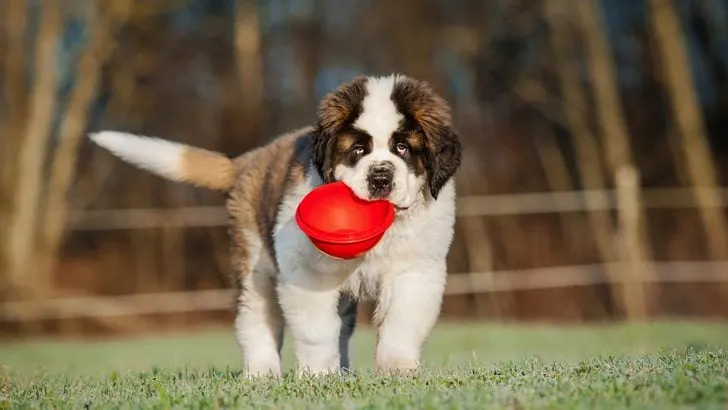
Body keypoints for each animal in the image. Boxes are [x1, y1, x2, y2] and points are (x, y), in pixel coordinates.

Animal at [89, 74, 460, 378]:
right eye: (357, 150)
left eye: (403, 148)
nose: (380, 177)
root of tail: (250, 159)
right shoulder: (306, 273)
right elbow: (316, 329)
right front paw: (319, 376)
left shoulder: (416, 270)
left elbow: (402, 321)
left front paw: (398, 370)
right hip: (255, 263)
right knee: (255, 317)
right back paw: (262, 374)